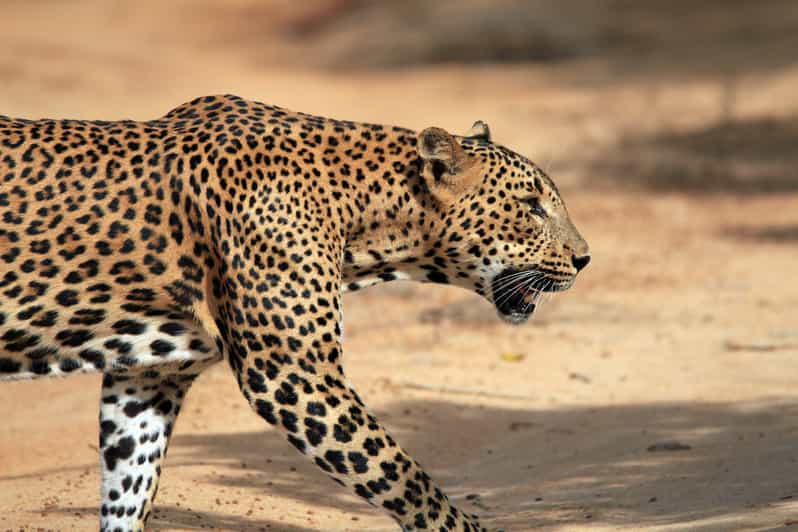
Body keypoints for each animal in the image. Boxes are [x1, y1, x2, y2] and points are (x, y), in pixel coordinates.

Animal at [0, 95, 588, 532]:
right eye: (532, 207)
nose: (585, 259)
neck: (365, 217)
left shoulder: (150, 375)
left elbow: (128, 486)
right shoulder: (294, 373)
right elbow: (400, 474)